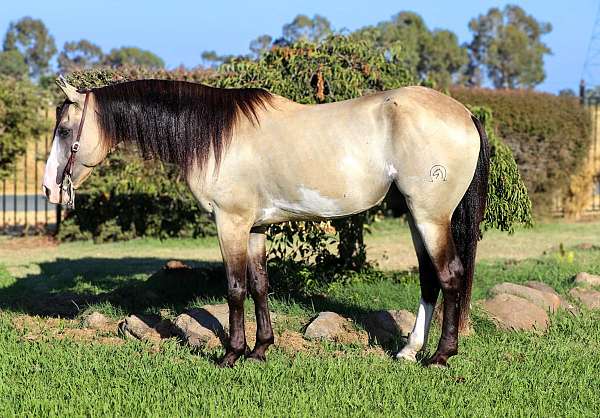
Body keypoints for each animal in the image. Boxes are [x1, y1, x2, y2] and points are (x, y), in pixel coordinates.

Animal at [44, 76, 490, 368]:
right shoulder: (256, 227)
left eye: (65, 130)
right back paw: (409, 351)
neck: (216, 137)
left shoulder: (230, 223)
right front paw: (260, 350)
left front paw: (231, 354)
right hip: (418, 217)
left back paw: (440, 356)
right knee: (430, 280)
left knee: (450, 275)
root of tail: (466, 114)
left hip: (431, 217)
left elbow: (235, 288)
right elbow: (259, 285)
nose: (49, 189)